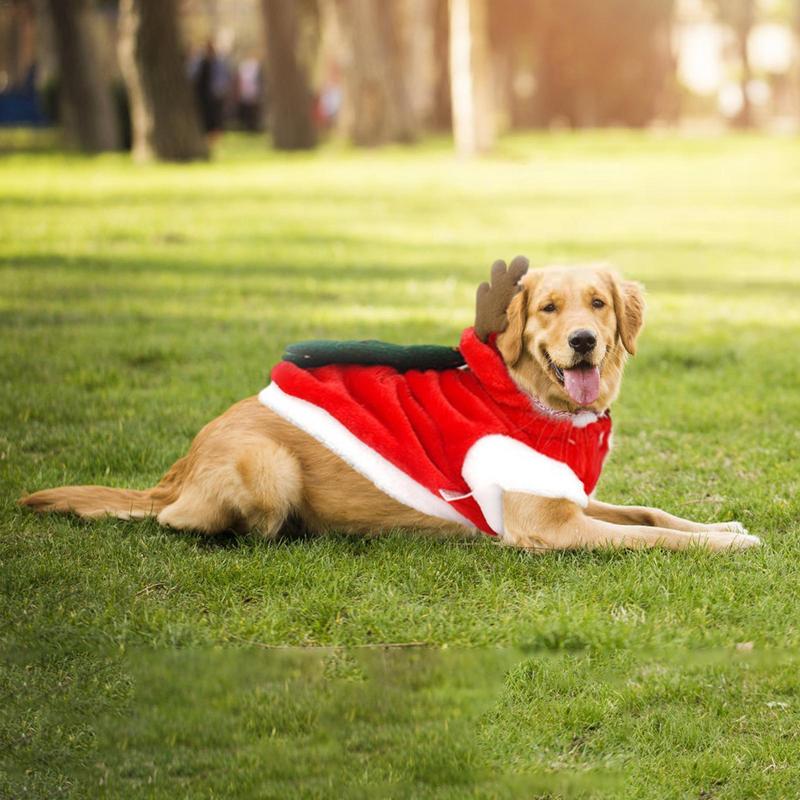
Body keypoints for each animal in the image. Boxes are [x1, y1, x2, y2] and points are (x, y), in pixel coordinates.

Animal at [17, 266, 756, 552]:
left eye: (597, 304)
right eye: (549, 308)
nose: (583, 341)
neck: (532, 402)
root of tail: (179, 466)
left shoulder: (568, 494)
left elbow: (653, 513)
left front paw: (721, 525)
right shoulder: (546, 525)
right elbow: (652, 538)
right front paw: (723, 546)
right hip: (269, 466)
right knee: (183, 521)